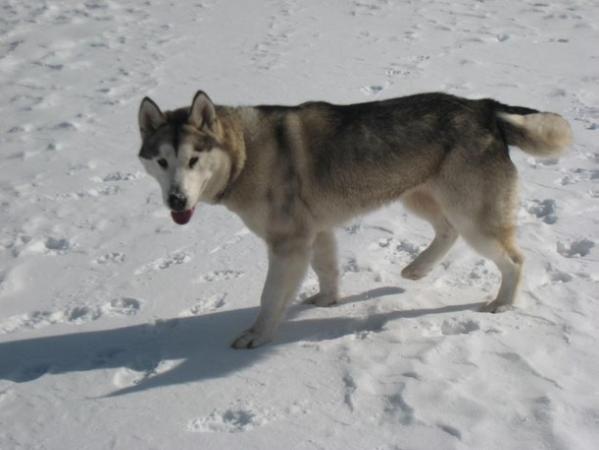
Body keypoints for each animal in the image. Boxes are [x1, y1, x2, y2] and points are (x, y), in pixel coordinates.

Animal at [138, 90, 576, 348]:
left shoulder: (288, 243)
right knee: (446, 230)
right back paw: (417, 269)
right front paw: (328, 301)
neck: (243, 154)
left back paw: (502, 303)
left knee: (513, 259)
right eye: (162, 161)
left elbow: (269, 297)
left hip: (471, 215)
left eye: (193, 160)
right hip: (419, 194)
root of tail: (483, 106)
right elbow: (327, 269)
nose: (176, 200)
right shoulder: (315, 231)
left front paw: (256, 335)